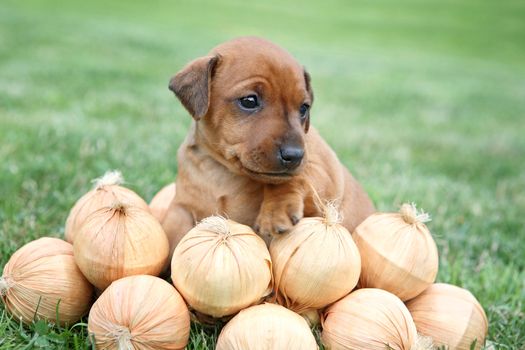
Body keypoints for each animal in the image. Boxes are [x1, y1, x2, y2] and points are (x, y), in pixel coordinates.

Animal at [163, 37, 372, 253]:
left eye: (304, 108)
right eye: (249, 101)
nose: (294, 155)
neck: (224, 171)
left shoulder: (327, 173)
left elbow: (293, 178)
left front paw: (276, 210)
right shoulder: (181, 209)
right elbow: (174, 234)